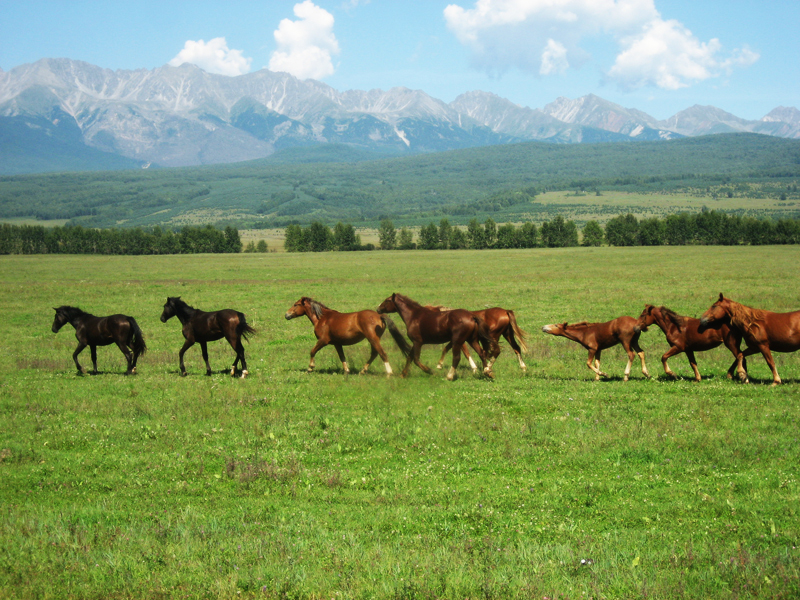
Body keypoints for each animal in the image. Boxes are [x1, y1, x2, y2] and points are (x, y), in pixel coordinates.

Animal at [284, 296, 412, 376]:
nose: (286, 315)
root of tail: (379, 315)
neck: (323, 318)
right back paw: (363, 371)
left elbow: (312, 351)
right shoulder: (337, 343)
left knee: (382, 353)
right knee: (374, 353)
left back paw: (389, 373)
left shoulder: (323, 340)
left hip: (373, 338)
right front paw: (347, 371)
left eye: (296, 305)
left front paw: (310, 368)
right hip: (373, 339)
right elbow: (342, 357)